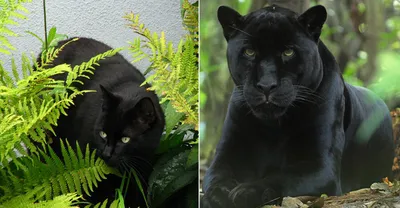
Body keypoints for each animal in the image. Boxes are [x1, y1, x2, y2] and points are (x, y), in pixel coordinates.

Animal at [202, 4, 396, 208]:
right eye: (249, 52)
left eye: (288, 52)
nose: (266, 85)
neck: (273, 126)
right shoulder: (226, 156)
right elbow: (215, 178)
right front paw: (218, 195)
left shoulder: (319, 166)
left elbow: (280, 178)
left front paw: (245, 191)